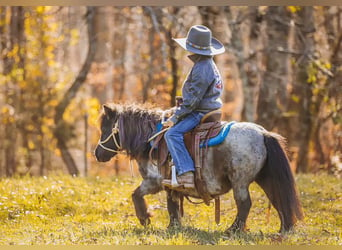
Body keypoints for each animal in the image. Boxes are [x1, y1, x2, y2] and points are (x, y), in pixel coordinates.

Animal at [93, 102, 302, 233]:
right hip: (266, 179)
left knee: (245, 204)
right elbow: (172, 205)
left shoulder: (154, 181)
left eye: (105, 128)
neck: (151, 140)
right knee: (278, 199)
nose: (97, 154)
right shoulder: (170, 186)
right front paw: (173, 227)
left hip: (240, 181)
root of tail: (263, 133)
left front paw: (145, 218)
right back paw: (284, 229)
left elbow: (136, 194)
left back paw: (232, 230)